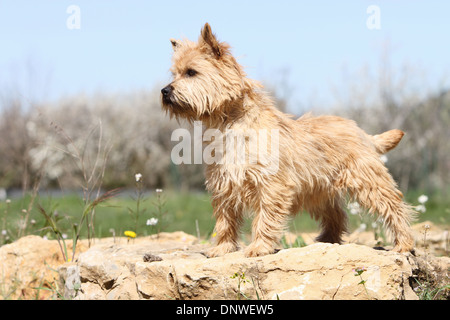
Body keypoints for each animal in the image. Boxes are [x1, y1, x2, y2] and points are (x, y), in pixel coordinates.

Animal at [161, 22, 414, 258]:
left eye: (191, 72)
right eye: (174, 74)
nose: (164, 90)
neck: (228, 123)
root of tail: (363, 133)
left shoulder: (270, 185)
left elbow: (264, 217)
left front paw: (259, 247)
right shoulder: (224, 184)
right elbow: (225, 220)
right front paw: (222, 248)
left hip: (368, 182)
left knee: (394, 207)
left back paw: (404, 244)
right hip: (319, 190)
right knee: (337, 215)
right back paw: (326, 241)